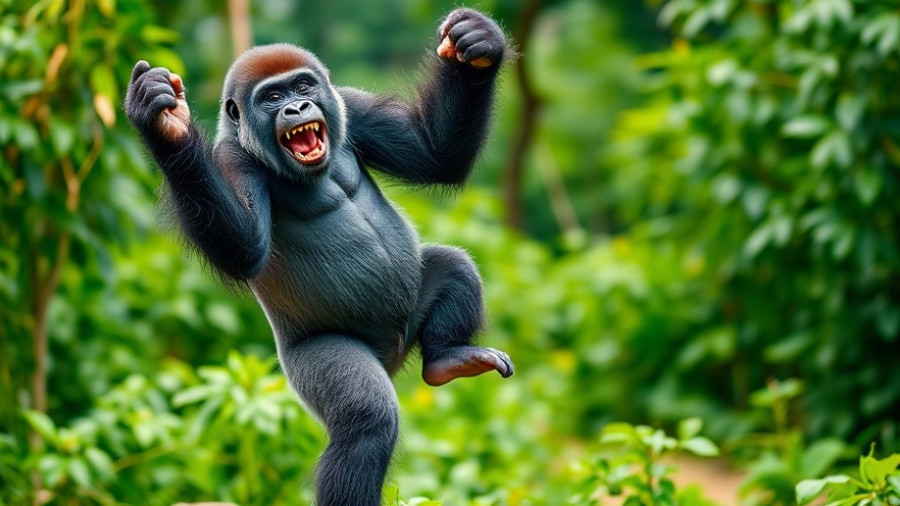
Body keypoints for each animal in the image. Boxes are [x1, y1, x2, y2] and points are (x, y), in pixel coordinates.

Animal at [124, 8, 512, 506]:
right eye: (272, 98)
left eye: (303, 87)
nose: (296, 109)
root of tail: (393, 358)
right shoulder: (232, 159)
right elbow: (243, 247)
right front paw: (163, 126)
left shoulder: (349, 106)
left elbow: (434, 153)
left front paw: (476, 44)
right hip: (309, 364)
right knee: (367, 416)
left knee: (454, 267)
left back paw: (448, 357)